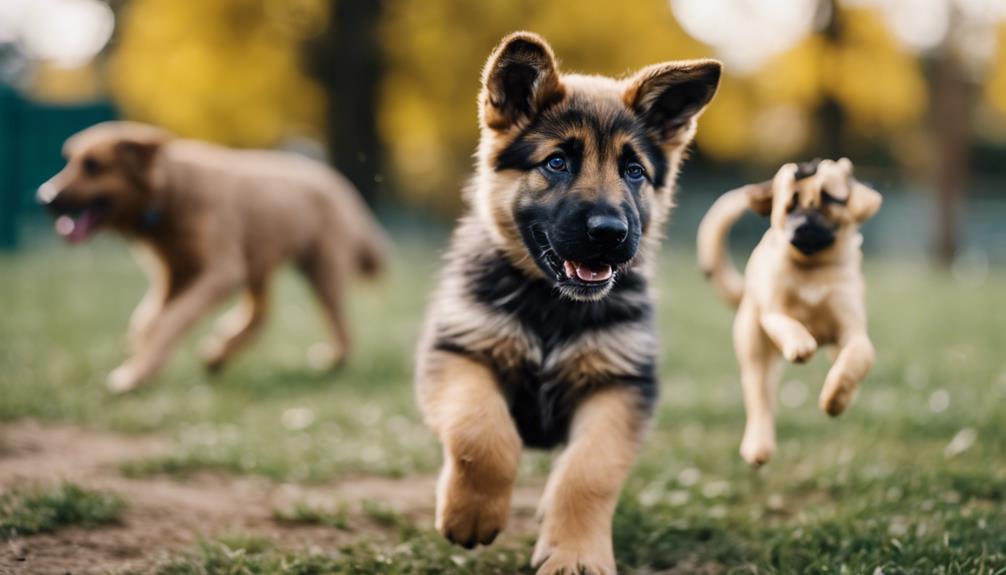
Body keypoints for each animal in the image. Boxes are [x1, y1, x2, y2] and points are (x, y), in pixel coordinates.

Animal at [39, 123, 386, 394]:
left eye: (93, 165)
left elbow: (169, 321)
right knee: (260, 314)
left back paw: (331, 359)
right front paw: (140, 354)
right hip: (257, 257)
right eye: (69, 161)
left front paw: (134, 375)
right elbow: (147, 319)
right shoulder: (173, 275)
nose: (44, 197)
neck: (172, 193)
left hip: (319, 266)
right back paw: (219, 353)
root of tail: (337, 181)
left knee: (339, 323)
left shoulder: (222, 272)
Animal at [412, 32, 720, 575]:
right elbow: (480, 432)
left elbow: (589, 470)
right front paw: (472, 513)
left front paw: (576, 554)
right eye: (557, 162)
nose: (610, 233)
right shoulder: (459, 352)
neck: (552, 307)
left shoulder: (620, 385)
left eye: (633, 171)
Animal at [700, 156, 881, 466]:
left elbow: (855, 360)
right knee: (760, 400)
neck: (812, 268)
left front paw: (836, 398)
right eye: (789, 205)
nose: (804, 226)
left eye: (829, 199)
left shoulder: (853, 332)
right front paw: (801, 344)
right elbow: (789, 324)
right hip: (755, 351)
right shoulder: (773, 312)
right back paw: (757, 445)